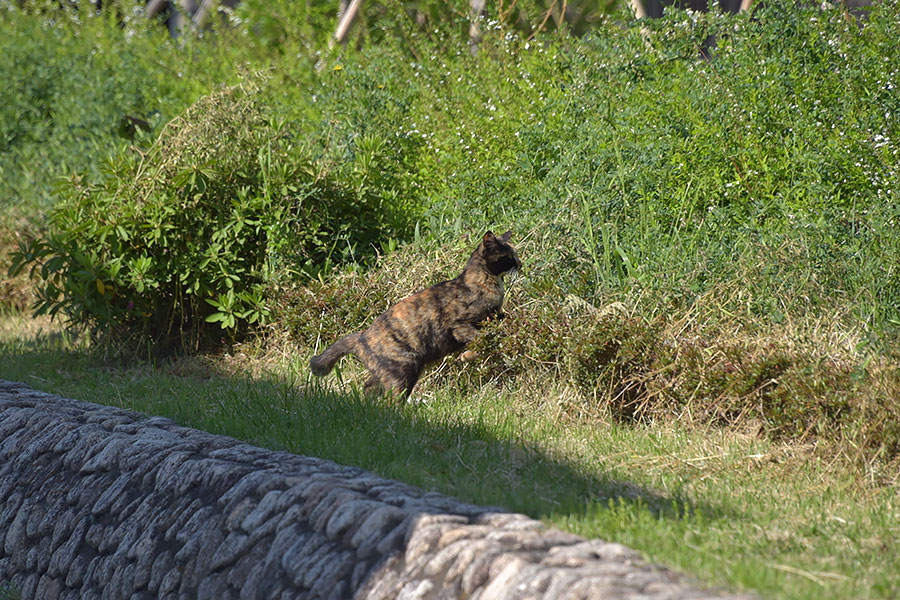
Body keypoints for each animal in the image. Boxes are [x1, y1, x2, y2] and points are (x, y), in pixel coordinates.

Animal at [310, 232, 520, 400]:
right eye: (509, 256)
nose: (520, 263)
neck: (484, 282)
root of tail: (361, 336)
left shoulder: (495, 317)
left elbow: (497, 327)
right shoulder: (460, 326)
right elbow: (480, 340)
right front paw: (466, 356)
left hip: (392, 371)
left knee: (368, 386)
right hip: (404, 370)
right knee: (392, 398)